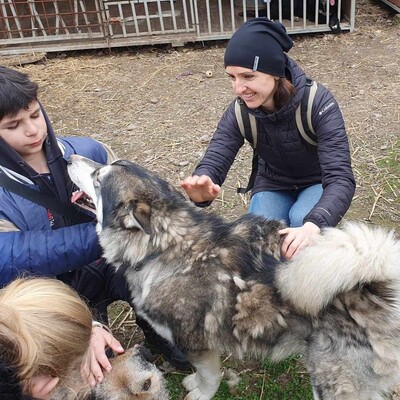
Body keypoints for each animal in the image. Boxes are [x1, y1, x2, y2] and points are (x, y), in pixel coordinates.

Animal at [67, 155, 400, 400]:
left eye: (98, 178)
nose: (69, 156)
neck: (164, 250)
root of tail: (373, 294)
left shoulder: (195, 343)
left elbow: (209, 376)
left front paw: (201, 392)